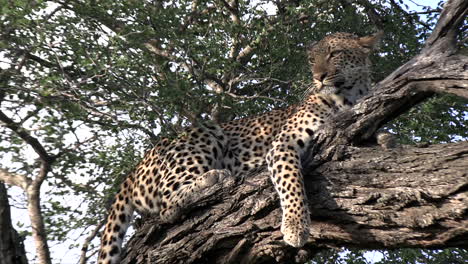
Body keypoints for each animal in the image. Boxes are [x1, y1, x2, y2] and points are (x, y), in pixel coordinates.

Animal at [97, 31, 382, 264]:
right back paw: (213, 177)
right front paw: (295, 227)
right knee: (166, 206)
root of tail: (134, 169)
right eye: (312, 60)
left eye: (335, 53)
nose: (318, 77)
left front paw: (385, 138)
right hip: (204, 132)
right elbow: (291, 183)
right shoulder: (282, 144)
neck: (347, 97)